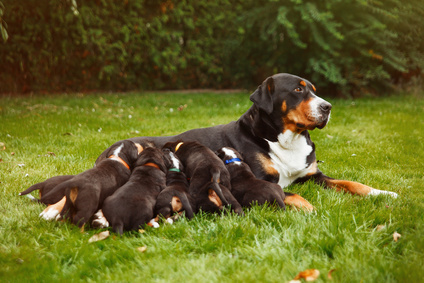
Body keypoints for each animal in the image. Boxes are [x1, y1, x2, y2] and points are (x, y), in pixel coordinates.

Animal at [97, 73, 400, 211]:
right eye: (298, 89)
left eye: (314, 90)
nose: (328, 107)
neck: (287, 140)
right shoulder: (261, 179)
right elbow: (291, 194)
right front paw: (311, 208)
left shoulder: (312, 174)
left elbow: (351, 183)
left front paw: (383, 193)